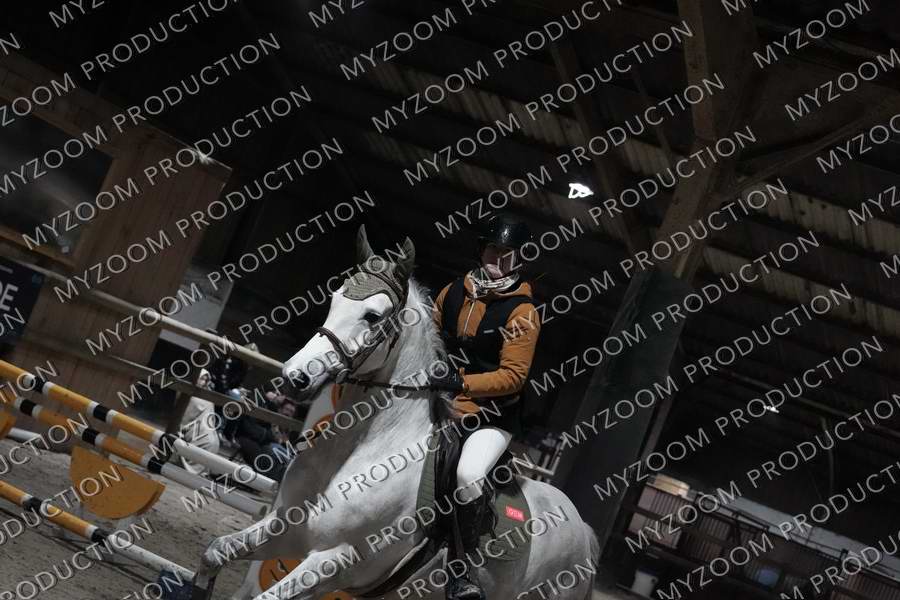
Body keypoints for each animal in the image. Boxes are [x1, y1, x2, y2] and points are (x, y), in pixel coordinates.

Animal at [193, 226, 599, 600]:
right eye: (335, 300)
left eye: (373, 316)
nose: (295, 377)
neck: (357, 450)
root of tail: (583, 529)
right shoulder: (286, 529)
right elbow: (214, 552)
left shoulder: (335, 560)